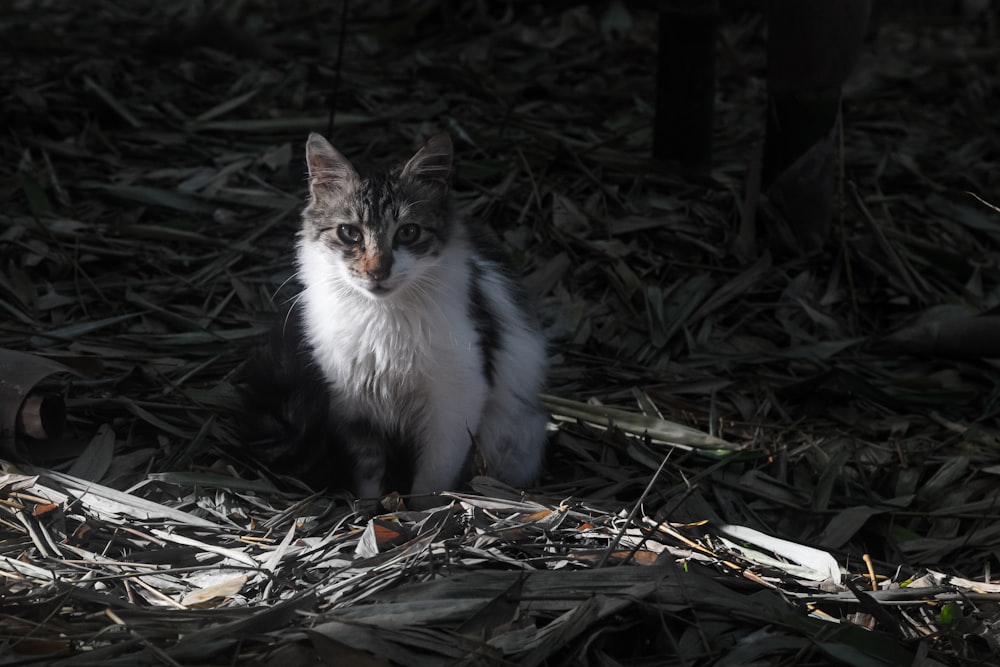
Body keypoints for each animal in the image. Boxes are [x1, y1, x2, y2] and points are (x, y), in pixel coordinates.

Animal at [244, 132, 556, 506]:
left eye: (408, 233)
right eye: (349, 233)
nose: (377, 271)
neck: (382, 319)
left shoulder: (455, 403)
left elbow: (431, 478)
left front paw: (419, 512)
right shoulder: (353, 406)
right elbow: (367, 472)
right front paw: (370, 509)